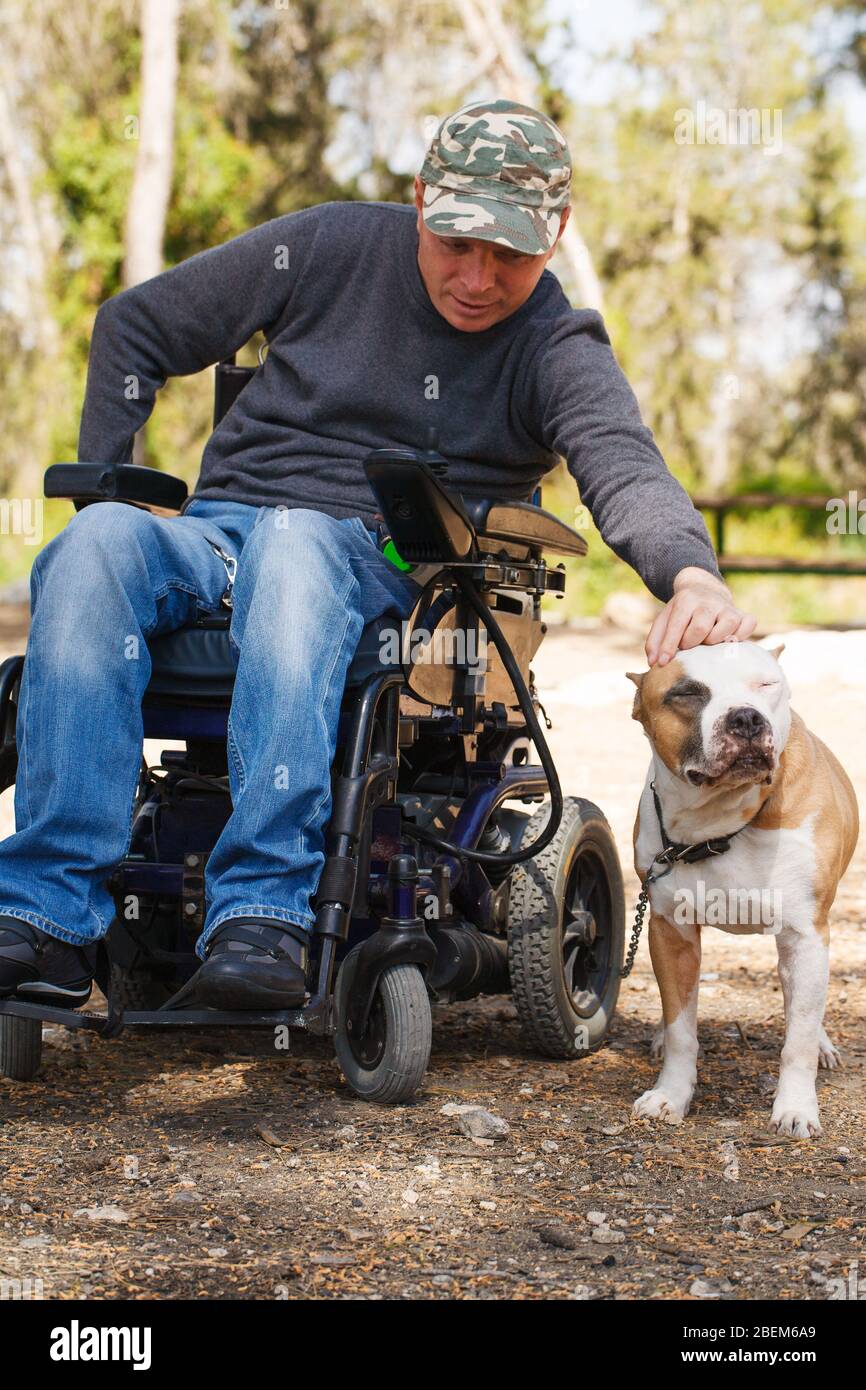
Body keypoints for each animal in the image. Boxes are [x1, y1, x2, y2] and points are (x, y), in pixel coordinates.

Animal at [625, 639, 856, 1139]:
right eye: (687, 693)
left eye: (766, 684)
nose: (747, 718)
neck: (720, 823)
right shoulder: (670, 931)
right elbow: (681, 1028)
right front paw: (671, 1094)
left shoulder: (805, 935)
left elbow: (798, 1038)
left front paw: (796, 1108)